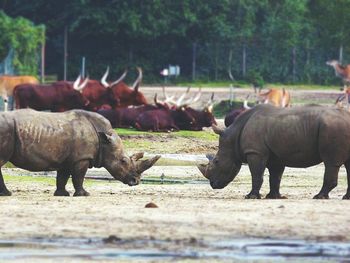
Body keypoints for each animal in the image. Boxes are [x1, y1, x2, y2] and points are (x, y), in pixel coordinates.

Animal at [0, 108, 160, 197]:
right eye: (123, 161)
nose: (136, 181)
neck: (105, 141)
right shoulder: (82, 158)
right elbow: (79, 177)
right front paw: (84, 194)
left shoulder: (66, 159)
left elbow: (62, 177)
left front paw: (62, 195)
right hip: (6, 130)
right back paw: (7, 194)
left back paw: (6, 194)